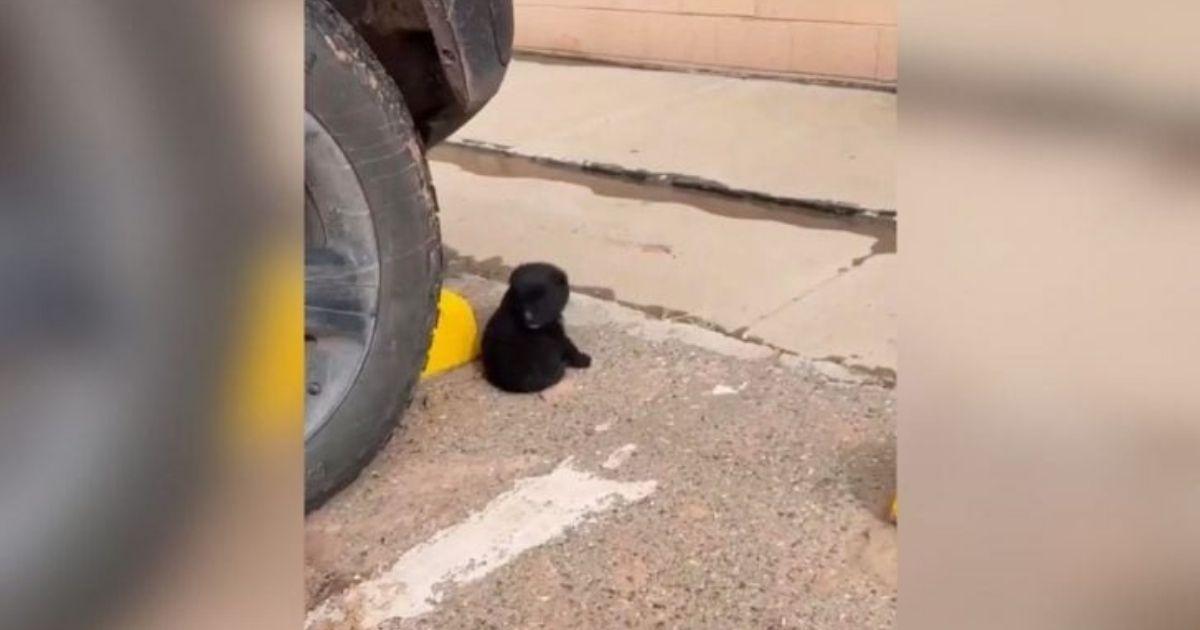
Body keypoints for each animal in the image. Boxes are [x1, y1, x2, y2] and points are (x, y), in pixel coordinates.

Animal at [477, 261, 590, 393]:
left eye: (543, 298)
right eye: (521, 300)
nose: (528, 317)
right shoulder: (557, 334)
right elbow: (570, 346)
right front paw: (584, 360)